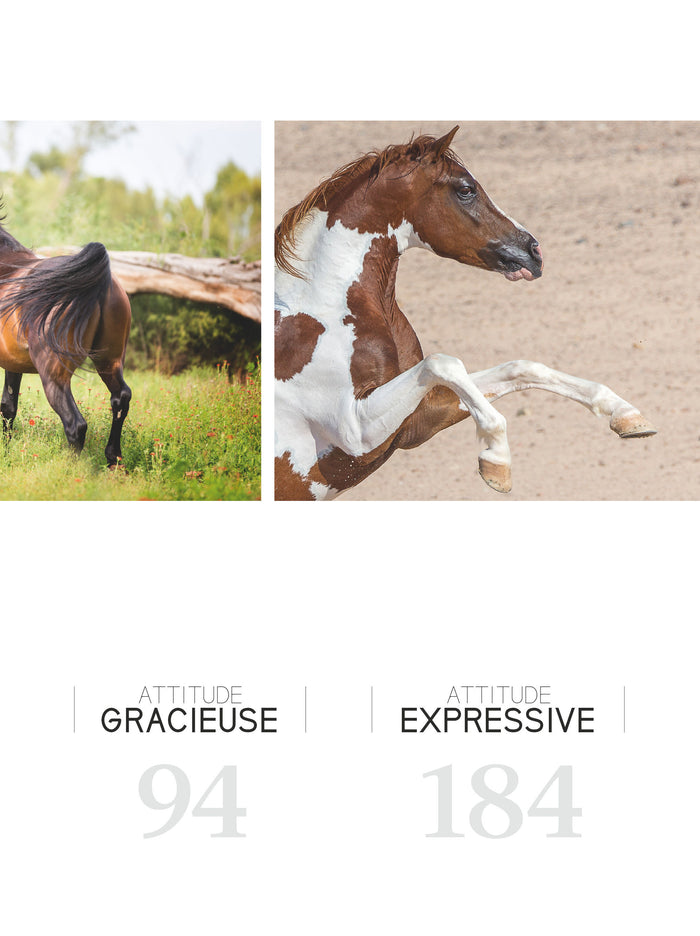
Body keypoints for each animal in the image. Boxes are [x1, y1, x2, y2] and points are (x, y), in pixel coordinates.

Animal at [0, 202, 132, 466]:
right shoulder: (12, 364)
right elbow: (8, 407)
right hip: (110, 362)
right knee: (120, 399)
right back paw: (113, 459)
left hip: (54, 375)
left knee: (75, 425)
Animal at [274, 125, 656, 500]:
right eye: (466, 189)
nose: (533, 252)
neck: (326, 308)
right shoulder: (354, 431)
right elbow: (445, 363)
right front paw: (497, 463)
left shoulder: (417, 420)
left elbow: (521, 368)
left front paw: (627, 416)